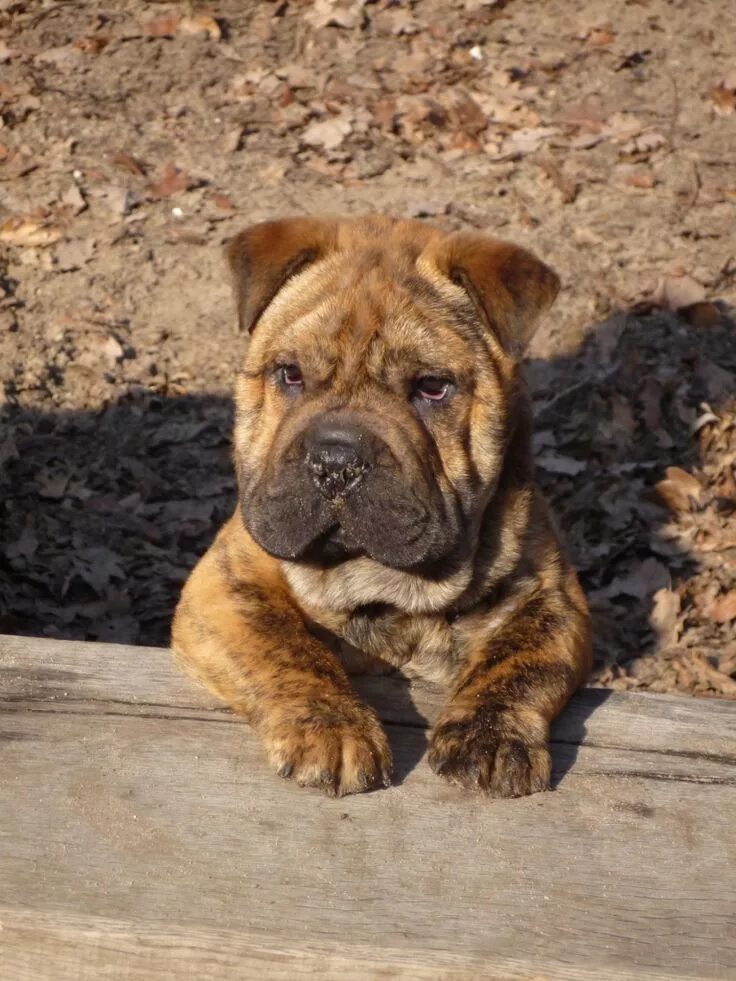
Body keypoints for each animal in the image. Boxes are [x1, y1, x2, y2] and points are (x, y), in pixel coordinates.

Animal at [172, 214, 592, 796]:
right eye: (290, 374)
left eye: (433, 387)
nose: (336, 460)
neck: (386, 583)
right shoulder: (225, 582)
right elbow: (286, 648)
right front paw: (334, 728)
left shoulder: (553, 596)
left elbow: (524, 663)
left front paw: (491, 735)